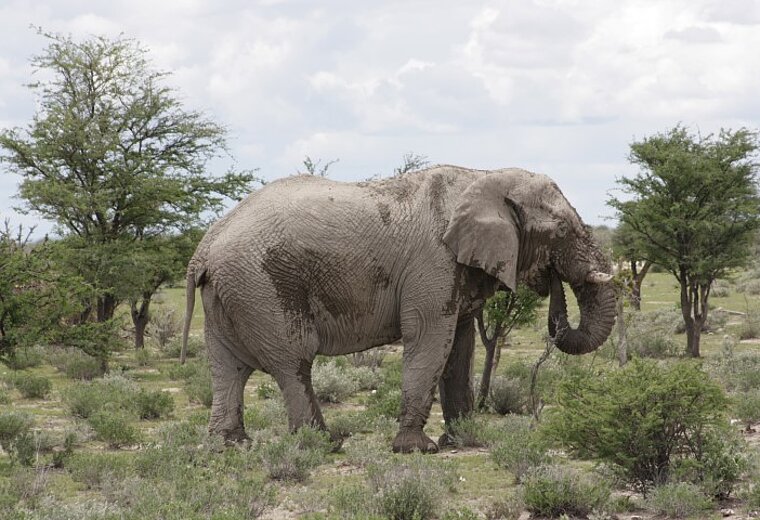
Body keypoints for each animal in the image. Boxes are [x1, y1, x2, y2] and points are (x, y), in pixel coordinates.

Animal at [181, 165, 616, 453]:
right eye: (561, 230)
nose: (552, 282)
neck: (484, 177)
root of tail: (205, 245)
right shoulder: (434, 262)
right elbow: (429, 338)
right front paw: (418, 449)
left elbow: (459, 349)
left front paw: (462, 442)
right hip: (260, 282)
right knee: (293, 360)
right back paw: (322, 444)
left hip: (230, 291)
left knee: (229, 367)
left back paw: (230, 446)